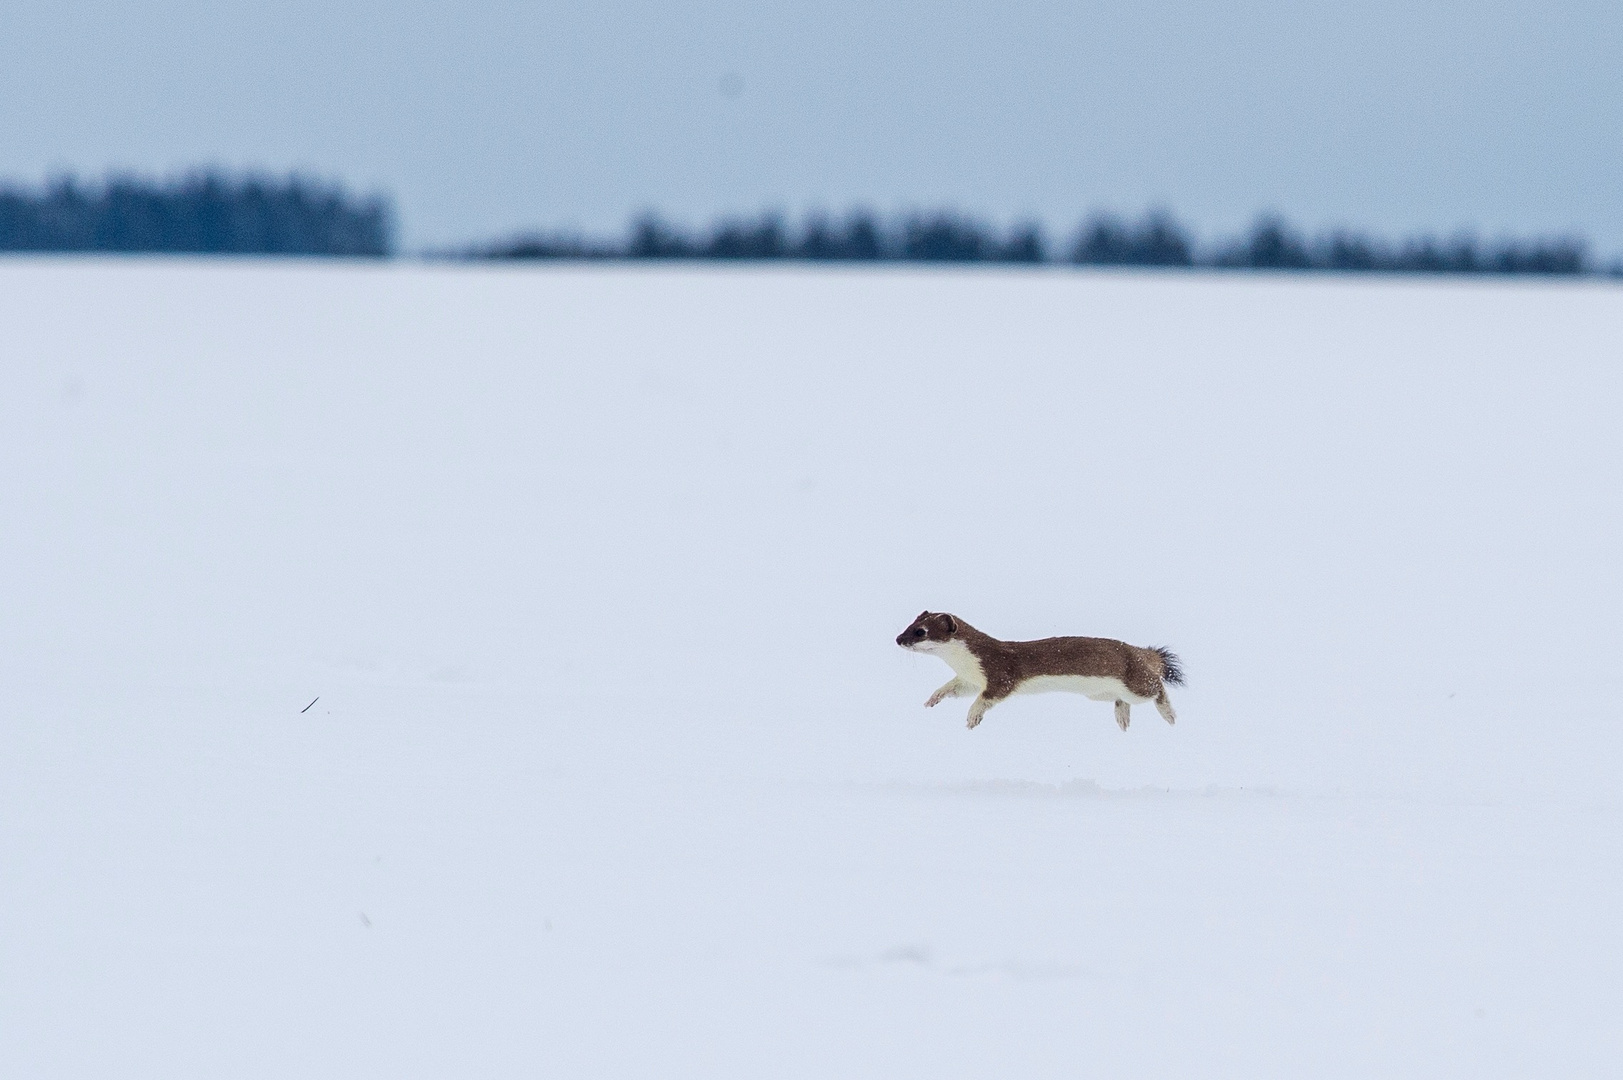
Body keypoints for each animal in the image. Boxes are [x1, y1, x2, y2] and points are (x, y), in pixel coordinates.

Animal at [902, 610, 1181, 727]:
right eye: (910, 623)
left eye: (921, 631)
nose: (897, 639)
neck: (965, 662)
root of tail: (1137, 650)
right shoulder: (970, 679)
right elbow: (954, 687)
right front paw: (933, 699)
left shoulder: (999, 673)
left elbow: (988, 697)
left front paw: (973, 717)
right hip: (1101, 692)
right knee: (1122, 699)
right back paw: (1122, 718)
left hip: (1134, 679)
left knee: (1157, 686)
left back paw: (1169, 716)